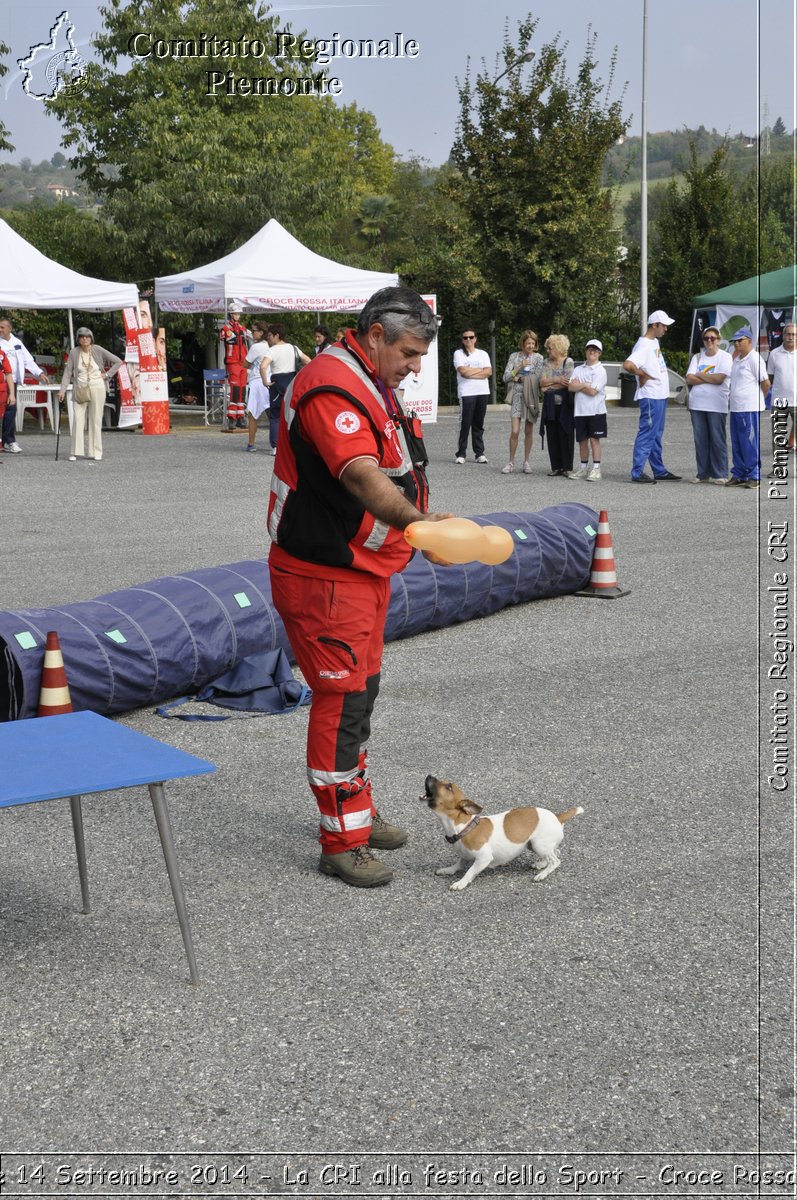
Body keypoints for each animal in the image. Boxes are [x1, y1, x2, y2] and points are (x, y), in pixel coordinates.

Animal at [422, 777, 585, 892]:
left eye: (448, 786)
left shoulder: (484, 858)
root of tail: (558, 817)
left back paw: (542, 875)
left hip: (539, 844)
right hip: (534, 845)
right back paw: (541, 864)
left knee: (556, 861)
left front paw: (460, 882)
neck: (464, 826)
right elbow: (460, 863)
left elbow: (469, 870)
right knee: (556, 852)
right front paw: (449, 870)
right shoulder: (464, 854)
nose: (429, 775)